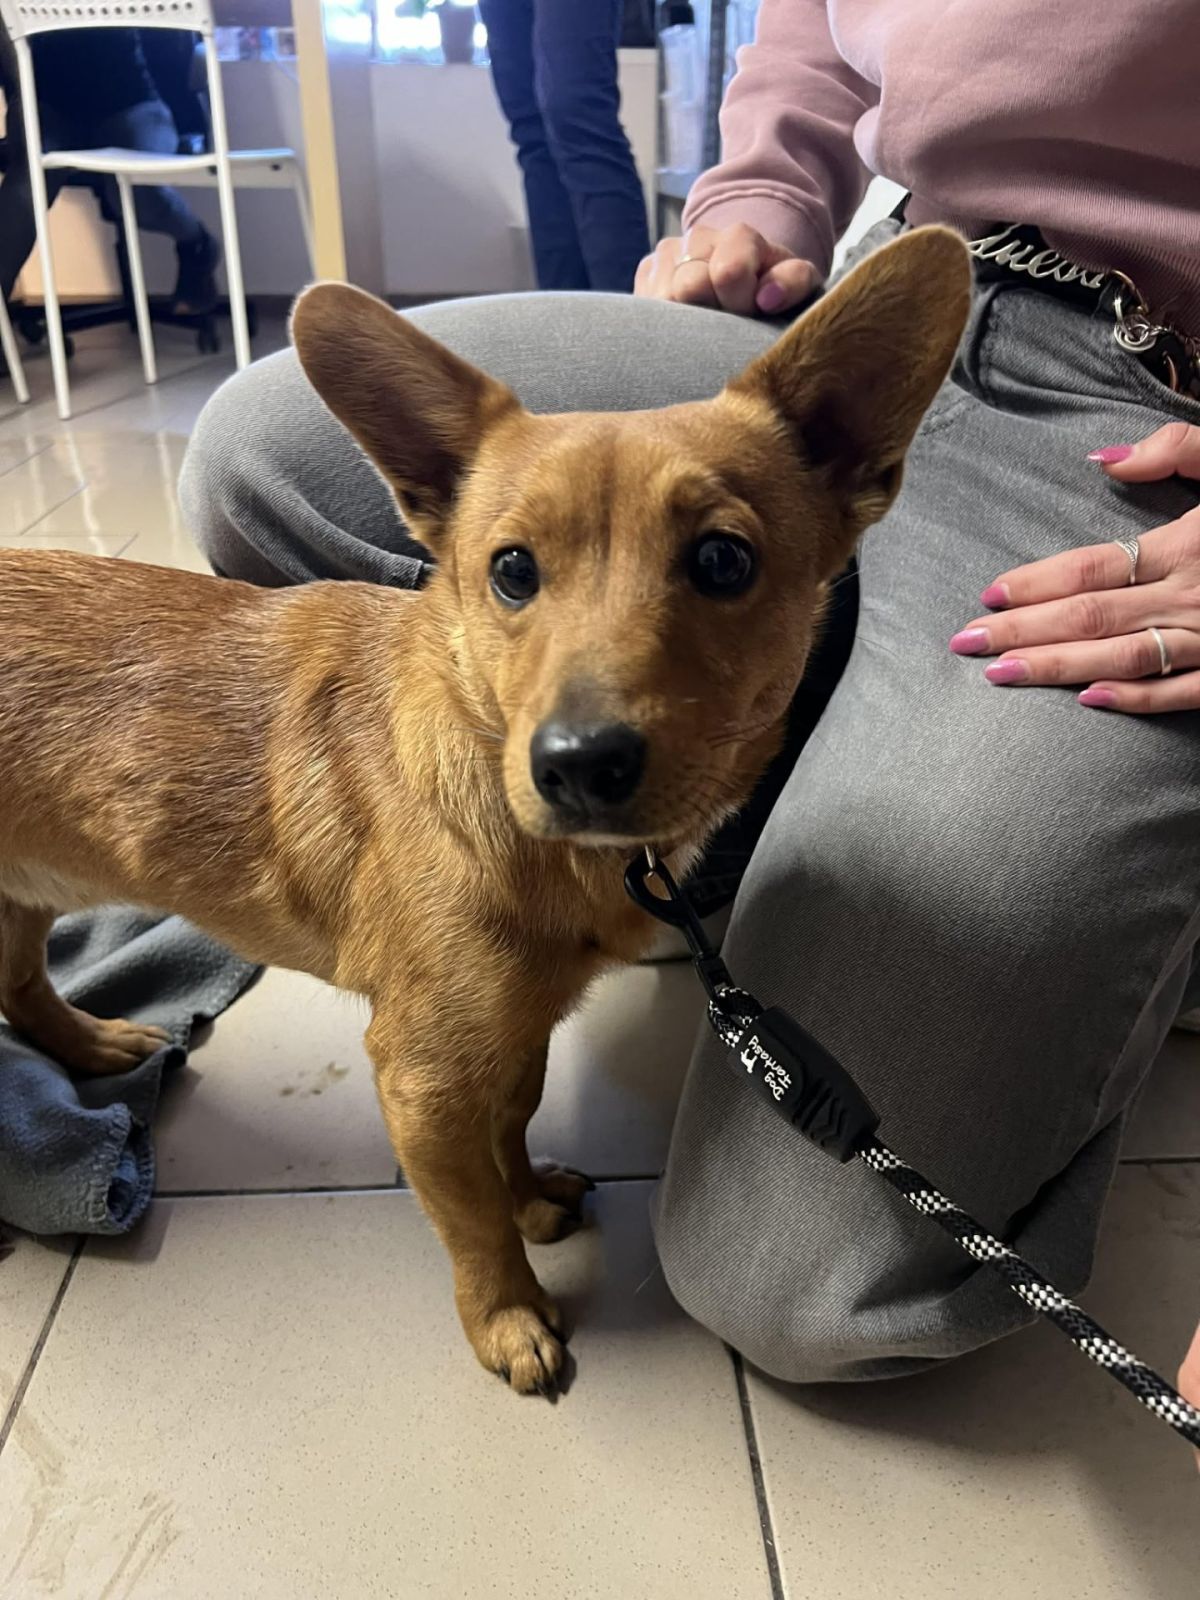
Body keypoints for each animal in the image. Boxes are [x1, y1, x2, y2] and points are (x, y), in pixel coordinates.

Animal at [0, 227, 970, 1394]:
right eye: (511, 571)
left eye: (723, 559)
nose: (580, 764)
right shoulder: (422, 1075)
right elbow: (468, 1225)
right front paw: (507, 1314)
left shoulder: (513, 1030)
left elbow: (512, 1123)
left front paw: (530, 1196)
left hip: (19, 897)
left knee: (17, 986)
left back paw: (90, 1046)